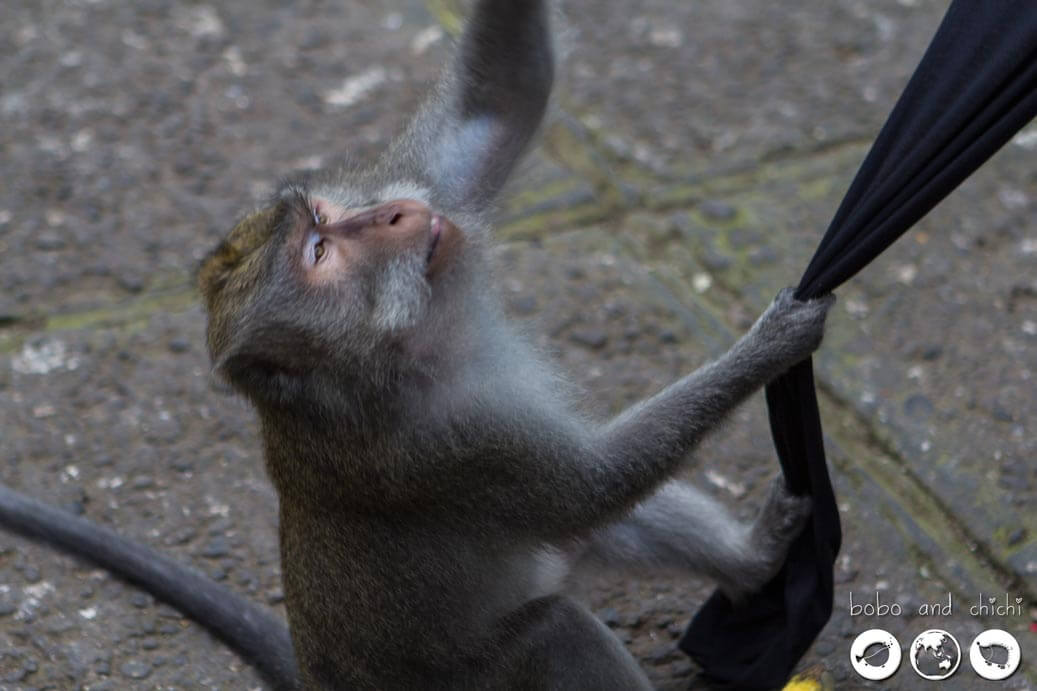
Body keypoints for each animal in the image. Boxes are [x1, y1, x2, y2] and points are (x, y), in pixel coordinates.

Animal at [0, 0, 833, 684]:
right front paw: (769, 344)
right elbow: (591, 481)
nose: (397, 213)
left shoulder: (425, 181)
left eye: (329, 216)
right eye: (319, 254)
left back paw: (753, 562)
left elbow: (498, 97)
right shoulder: (447, 447)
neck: (409, 343)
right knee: (557, 623)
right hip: (482, 673)